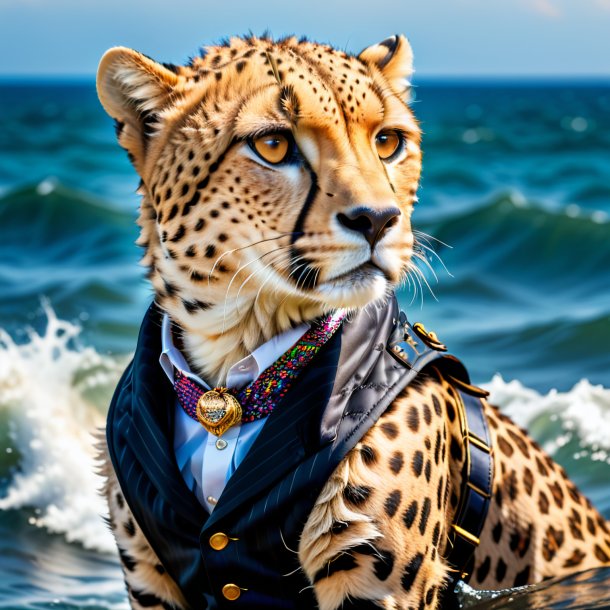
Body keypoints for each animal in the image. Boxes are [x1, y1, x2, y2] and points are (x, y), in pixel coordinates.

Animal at [96, 34, 608, 608]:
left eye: (387, 141)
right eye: (273, 145)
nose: (378, 220)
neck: (228, 371)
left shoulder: (376, 584)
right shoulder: (151, 580)